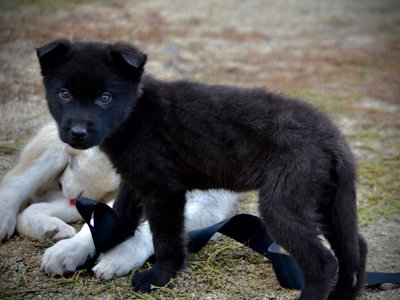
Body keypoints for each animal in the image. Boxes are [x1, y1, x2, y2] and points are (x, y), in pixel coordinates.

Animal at [0, 121, 238, 278]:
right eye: (71, 160)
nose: (59, 183)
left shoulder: (207, 203)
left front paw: (120, 255)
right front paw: (70, 250)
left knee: (32, 209)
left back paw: (51, 228)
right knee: (15, 183)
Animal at [36, 40, 366, 300]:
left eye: (105, 97)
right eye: (64, 94)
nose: (78, 133)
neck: (135, 114)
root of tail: (332, 139)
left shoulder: (164, 189)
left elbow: (166, 238)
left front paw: (159, 276)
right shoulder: (135, 180)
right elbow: (119, 218)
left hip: (283, 203)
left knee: (324, 263)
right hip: (328, 203)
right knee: (355, 248)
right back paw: (343, 294)